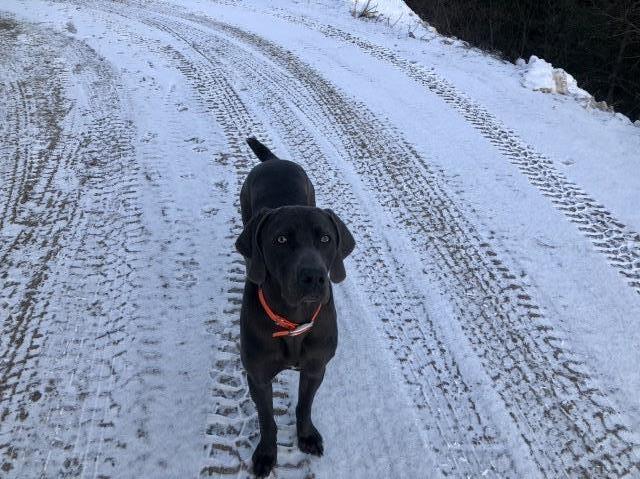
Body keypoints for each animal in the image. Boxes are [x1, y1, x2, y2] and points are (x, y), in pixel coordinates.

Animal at [236, 137, 356, 478]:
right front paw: (266, 454)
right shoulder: (258, 376)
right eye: (280, 239)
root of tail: (274, 161)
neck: (294, 320)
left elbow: (305, 405)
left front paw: (307, 437)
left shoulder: (316, 368)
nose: (313, 277)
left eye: (326, 238)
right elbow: (266, 419)